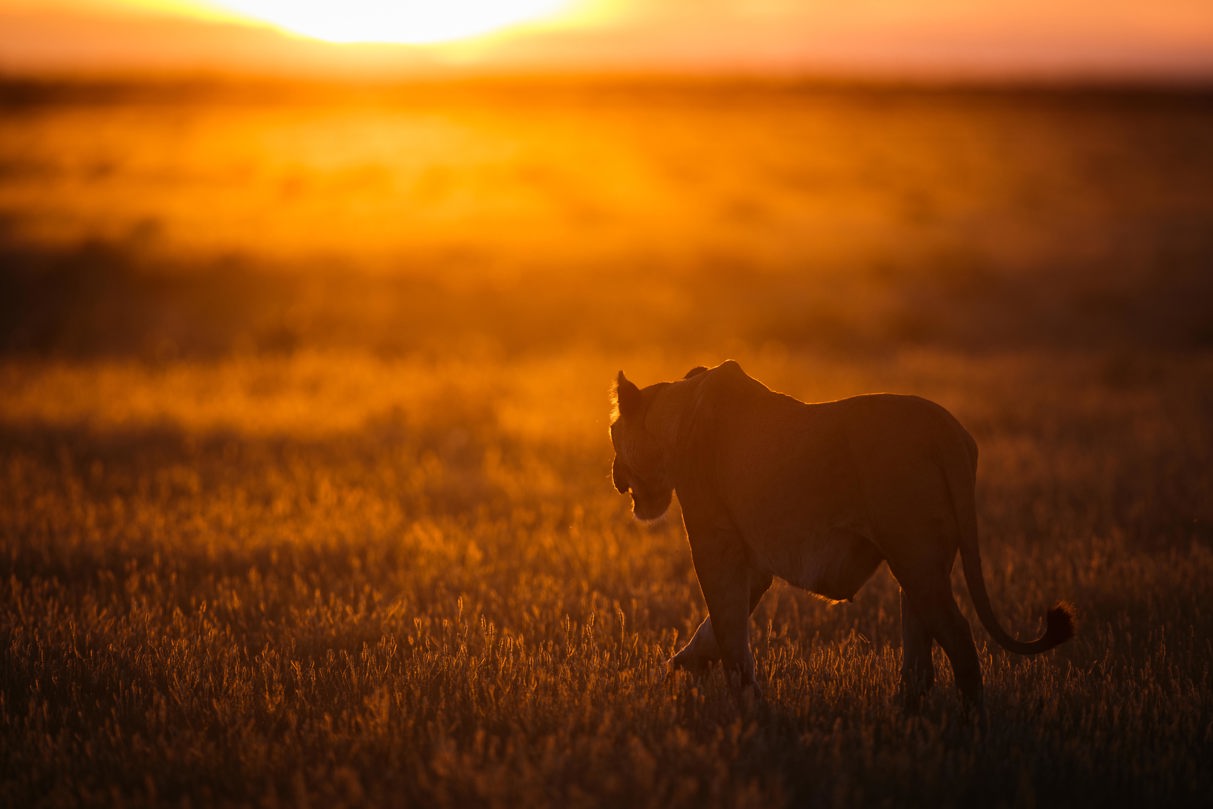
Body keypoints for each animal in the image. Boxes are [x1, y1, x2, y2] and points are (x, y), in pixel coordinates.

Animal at [609, 360, 1073, 712]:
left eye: (613, 435)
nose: (613, 474)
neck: (675, 415)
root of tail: (946, 432)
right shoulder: (751, 559)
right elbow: (721, 622)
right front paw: (682, 666)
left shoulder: (715, 540)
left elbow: (728, 627)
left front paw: (747, 708)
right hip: (920, 563)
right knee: (920, 658)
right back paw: (905, 717)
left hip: (914, 554)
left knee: (958, 637)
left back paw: (970, 726)